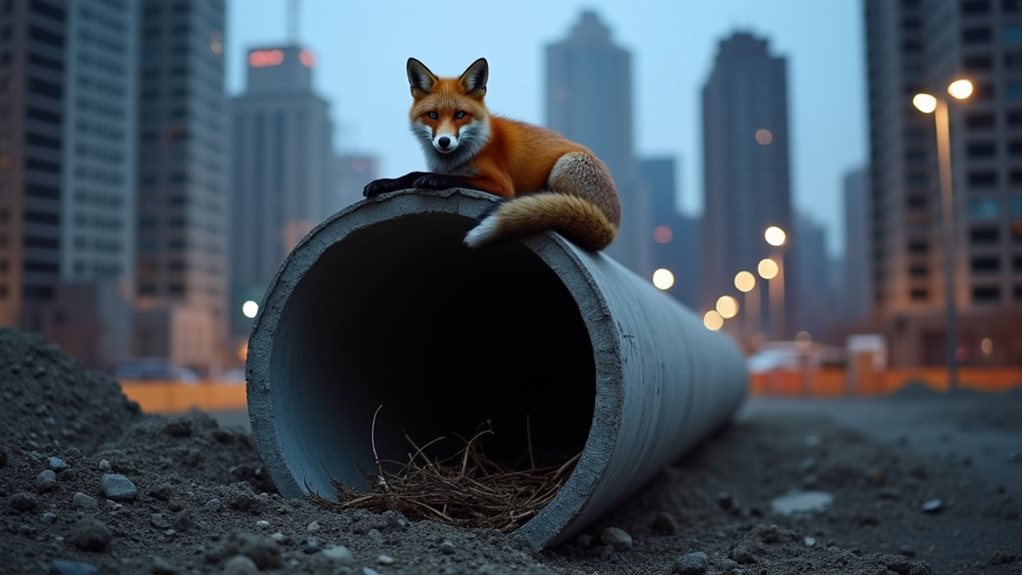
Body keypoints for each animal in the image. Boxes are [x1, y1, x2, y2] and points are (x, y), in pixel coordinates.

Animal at [362, 57, 621, 251]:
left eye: (460, 115)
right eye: (432, 115)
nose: (444, 141)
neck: (453, 160)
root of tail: (613, 227)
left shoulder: (501, 184)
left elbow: (453, 178)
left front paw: (434, 180)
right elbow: (410, 175)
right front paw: (383, 183)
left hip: (565, 166)